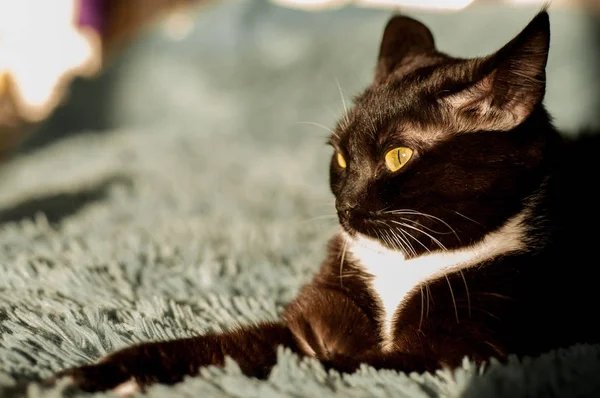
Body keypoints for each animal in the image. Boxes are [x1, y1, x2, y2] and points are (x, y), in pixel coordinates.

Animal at [54, 7, 600, 394]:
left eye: (398, 156)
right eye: (339, 157)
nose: (345, 206)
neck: (401, 267)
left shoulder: (459, 351)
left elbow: (335, 365)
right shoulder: (310, 322)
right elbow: (215, 349)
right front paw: (88, 376)